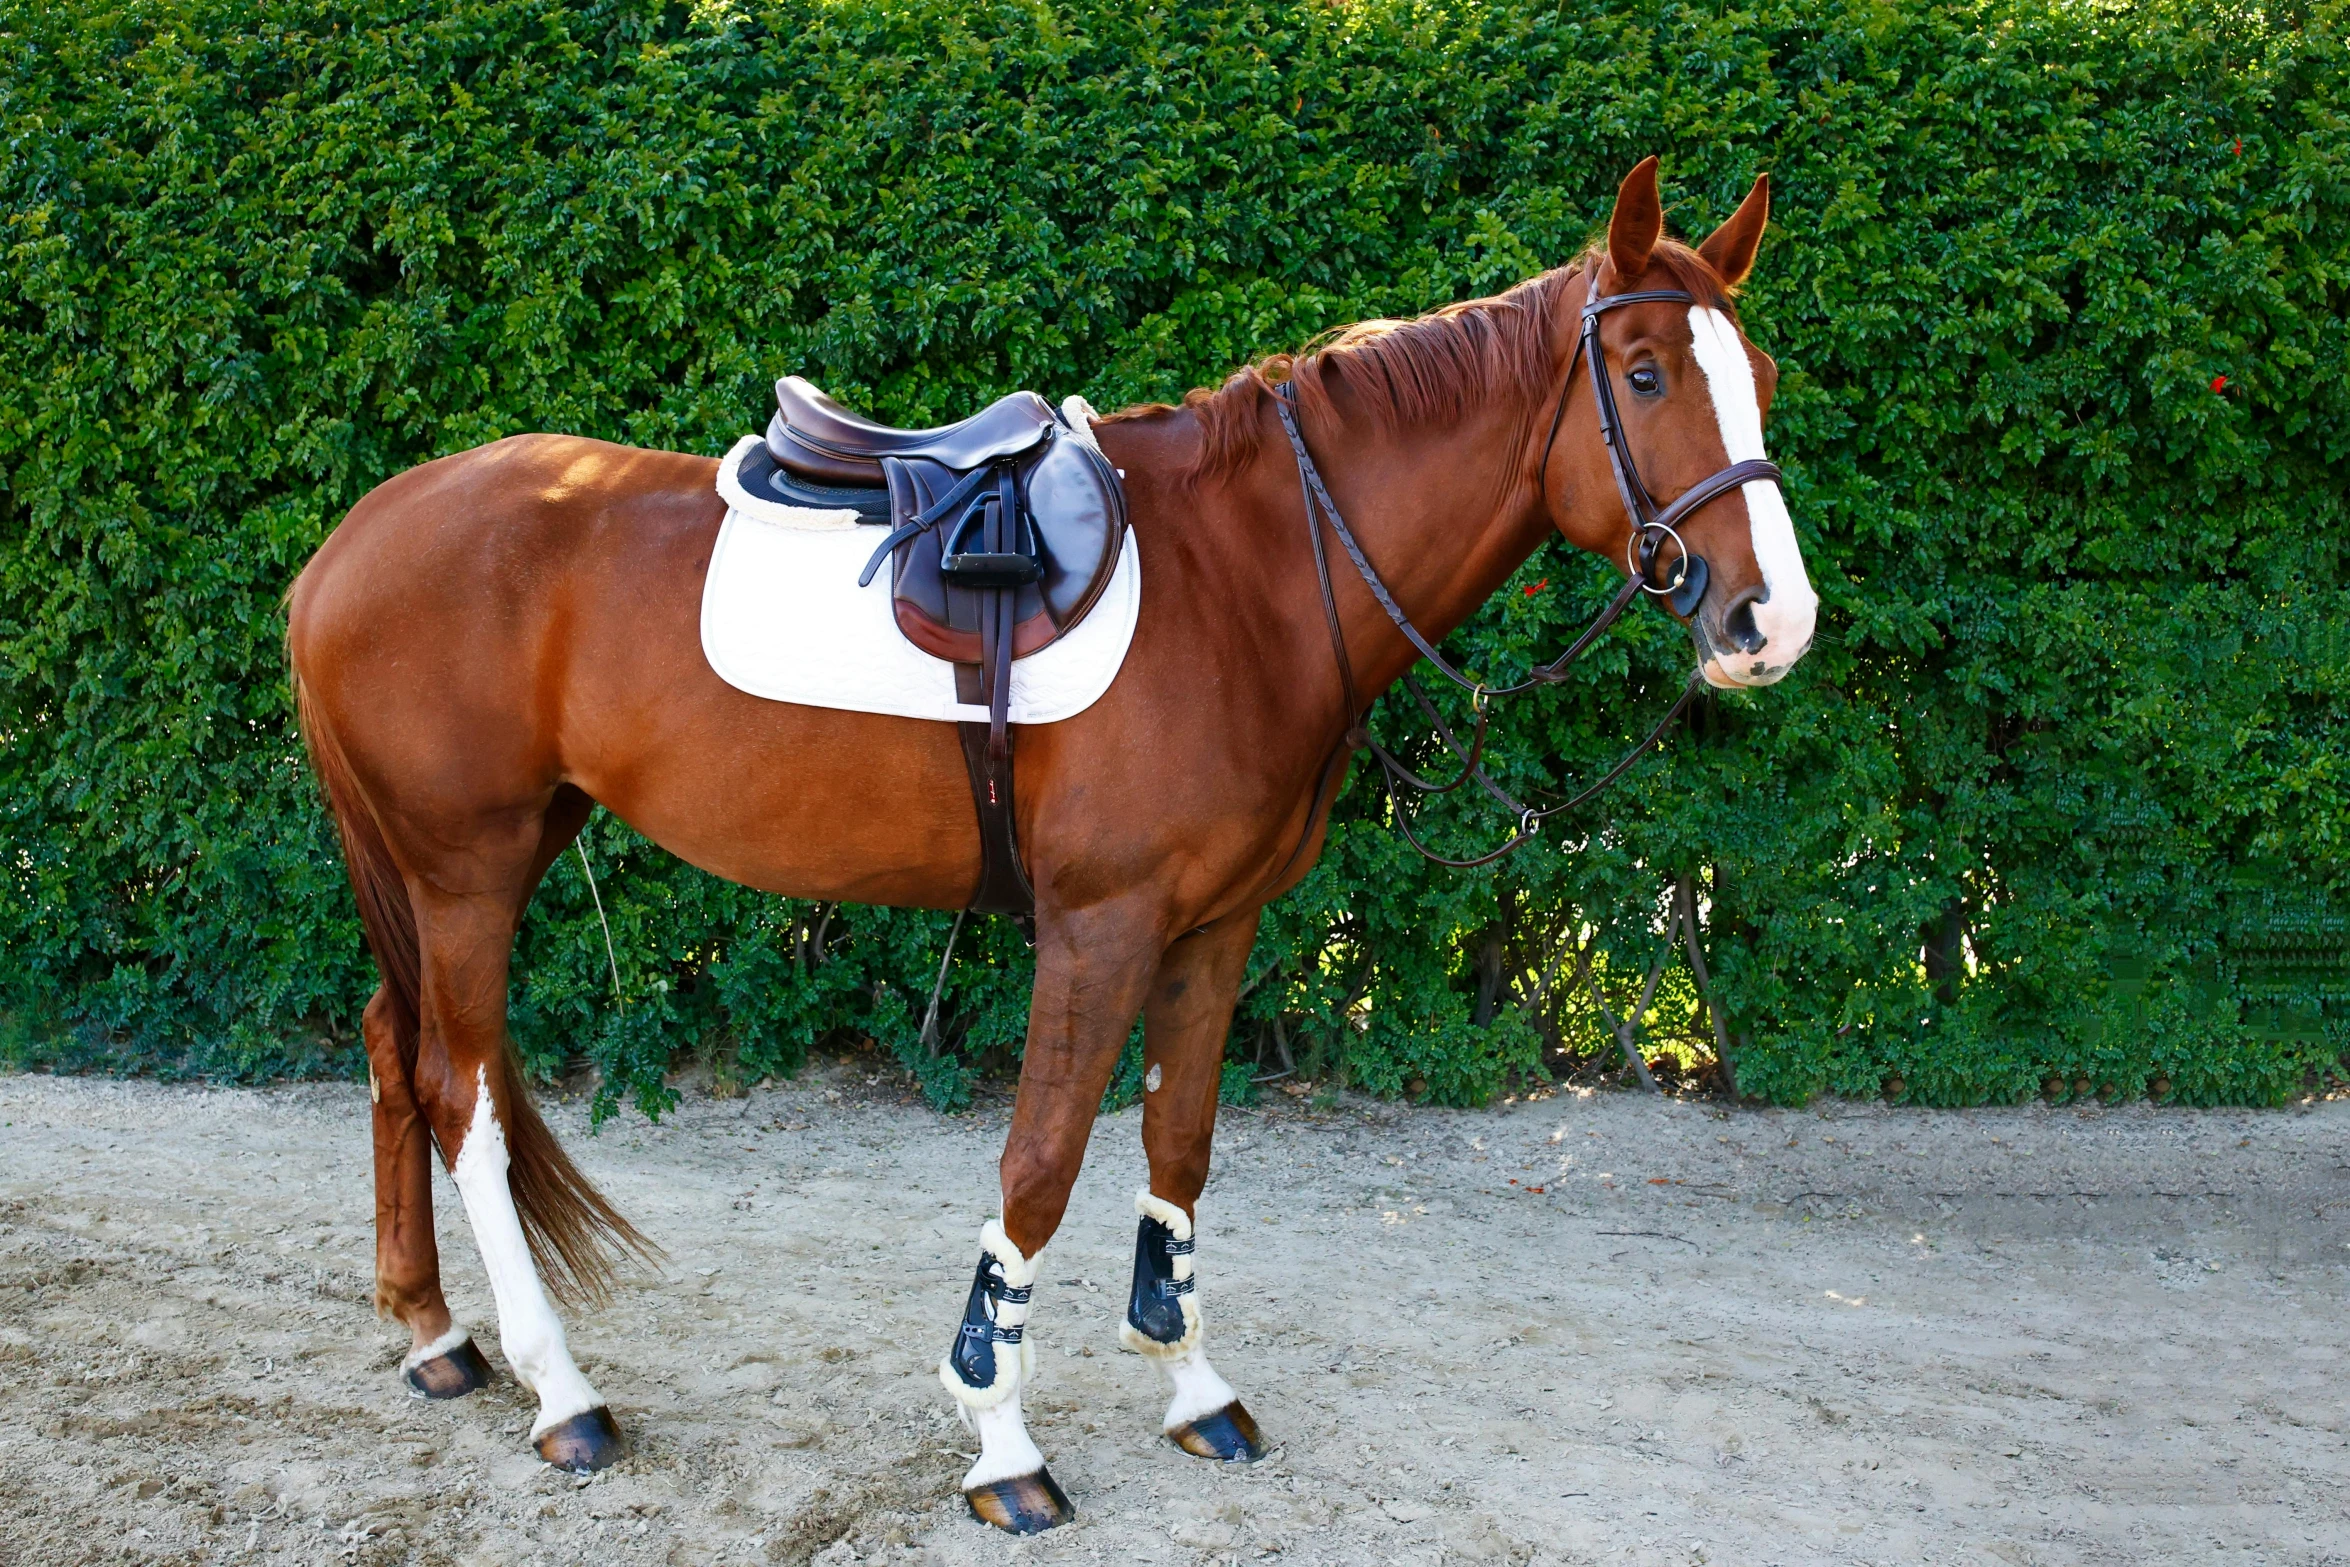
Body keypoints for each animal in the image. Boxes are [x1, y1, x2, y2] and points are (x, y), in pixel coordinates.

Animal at [279, 159, 1814, 1531]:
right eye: (1643, 376)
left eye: (1758, 375)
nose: (1770, 620)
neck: (1251, 573)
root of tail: (350, 538)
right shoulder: (1101, 922)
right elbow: (1042, 1161)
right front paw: (1000, 1437)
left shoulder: (1217, 924)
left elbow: (1179, 1148)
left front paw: (1193, 1387)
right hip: (466, 866)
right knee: (461, 1092)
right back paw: (562, 1392)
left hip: (471, 858)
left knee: (389, 1048)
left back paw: (434, 1337)